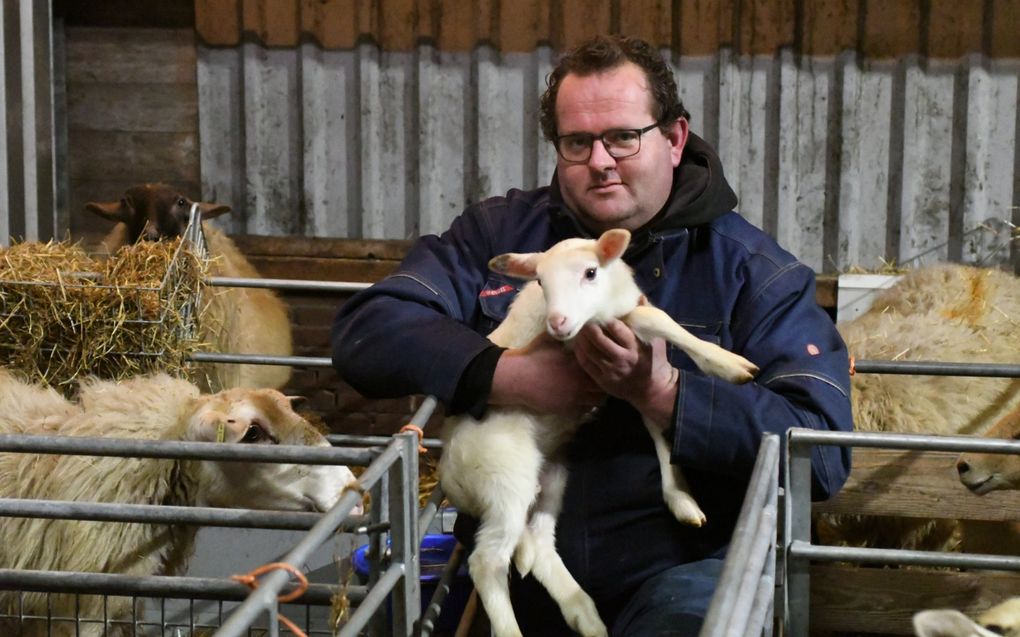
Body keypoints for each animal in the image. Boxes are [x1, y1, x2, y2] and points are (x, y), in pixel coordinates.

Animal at [442, 228, 762, 635]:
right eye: (540, 282)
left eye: (590, 272)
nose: (557, 322)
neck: (608, 304)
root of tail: (449, 474)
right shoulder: (597, 335)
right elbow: (656, 317)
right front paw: (728, 365)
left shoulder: (632, 374)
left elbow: (658, 423)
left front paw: (681, 498)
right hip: (505, 477)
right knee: (487, 563)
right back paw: (514, 628)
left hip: (551, 477)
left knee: (540, 545)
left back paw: (586, 615)